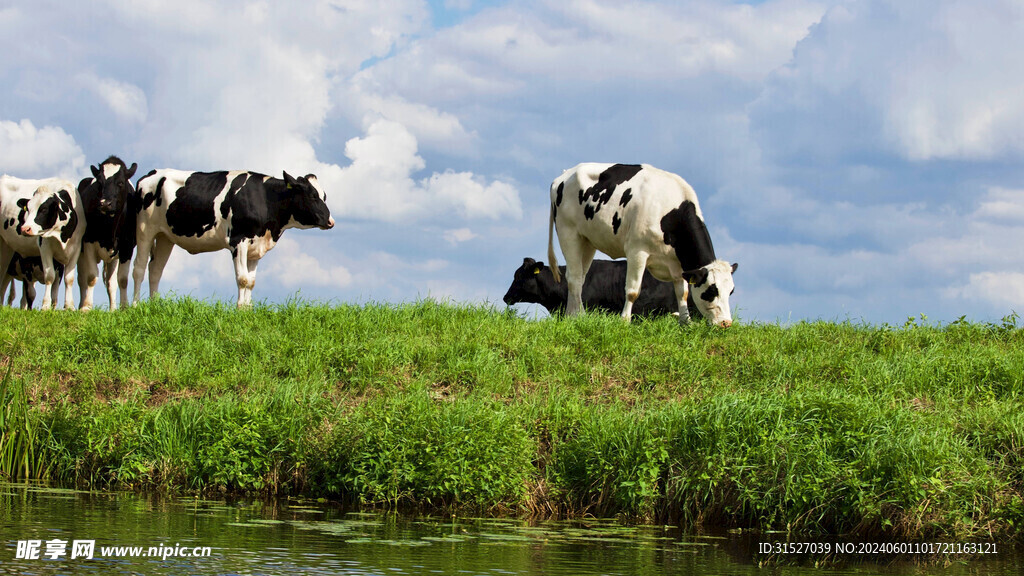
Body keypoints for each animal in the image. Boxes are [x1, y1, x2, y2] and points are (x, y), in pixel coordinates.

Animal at [0, 175, 84, 309]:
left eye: (44, 209)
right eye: (28, 209)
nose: (24, 228)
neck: (62, 235)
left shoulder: (76, 247)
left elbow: (69, 278)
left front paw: (69, 306)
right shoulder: (44, 247)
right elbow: (49, 276)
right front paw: (45, 306)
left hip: (7, 247)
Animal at [76, 154, 138, 309]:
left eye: (121, 182)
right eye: (99, 182)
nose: (105, 203)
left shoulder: (127, 246)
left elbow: (122, 280)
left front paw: (123, 307)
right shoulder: (88, 242)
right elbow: (91, 276)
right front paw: (86, 307)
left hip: (113, 258)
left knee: (111, 283)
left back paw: (112, 309)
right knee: (81, 279)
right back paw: (80, 305)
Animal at [132, 169, 335, 307]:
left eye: (324, 196)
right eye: (312, 196)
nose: (330, 221)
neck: (265, 199)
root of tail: (151, 174)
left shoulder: (256, 246)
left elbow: (251, 282)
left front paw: (248, 309)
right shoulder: (238, 241)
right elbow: (242, 279)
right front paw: (239, 309)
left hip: (165, 236)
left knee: (155, 270)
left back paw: (154, 306)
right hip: (144, 230)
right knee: (139, 269)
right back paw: (134, 306)